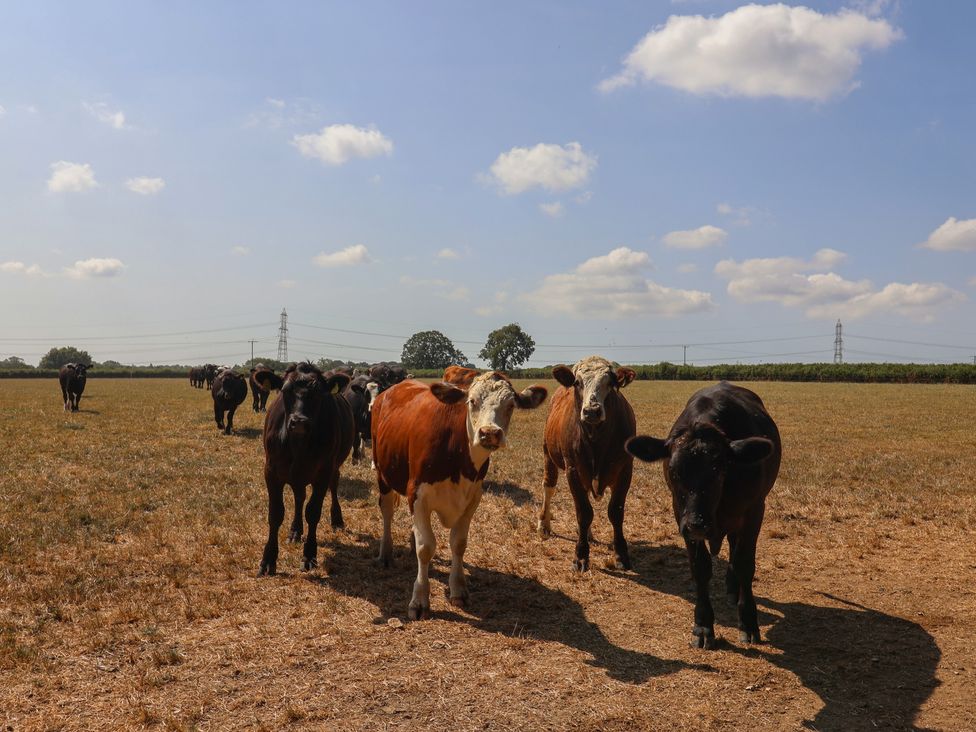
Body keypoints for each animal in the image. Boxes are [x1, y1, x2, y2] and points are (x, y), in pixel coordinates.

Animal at [257, 362, 354, 576]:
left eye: (318, 393)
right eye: (285, 390)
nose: (299, 421)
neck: (298, 444)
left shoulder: (323, 473)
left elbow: (313, 512)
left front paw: (309, 556)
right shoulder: (271, 472)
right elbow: (275, 513)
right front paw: (268, 559)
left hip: (333, 467)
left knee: (333, 486)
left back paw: (337, 520)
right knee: (299, 497)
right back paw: (295, 530)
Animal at [371, 372, 548, 619]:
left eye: (511, 405)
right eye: (472, 401)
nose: (489, 433)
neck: (458, 455)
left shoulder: (472, 498)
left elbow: (459, 543)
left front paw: (458, 589)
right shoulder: (417, 494)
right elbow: (426, 548)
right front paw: (420, 599)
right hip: (382, 472)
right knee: (387, 511)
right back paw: (386, 553)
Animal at [540, 356, 638, 572]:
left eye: (610, 383)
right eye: (578, 382)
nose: (592, 411)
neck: (596, 439)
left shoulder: (625, 470)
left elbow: (615, 511)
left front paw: (621, 554)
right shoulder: (573, 471)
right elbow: (584, 513)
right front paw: (581, 555)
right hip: (548, 456)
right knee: (548, 487)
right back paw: (544, 525)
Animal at [625, 381, 781, 649]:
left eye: (719, 469)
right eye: (673, 470)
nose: (697, 524)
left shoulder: (754, 510)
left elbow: (745, 564)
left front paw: (748, 622)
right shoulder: (681, 515)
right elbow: (700, 568)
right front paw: (703, 625)